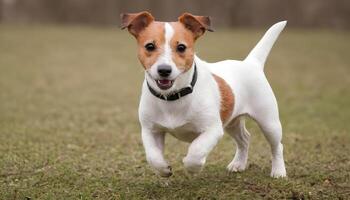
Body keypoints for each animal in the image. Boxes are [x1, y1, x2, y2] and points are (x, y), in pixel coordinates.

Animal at [120, 11, 288, 178]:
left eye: (181, 47)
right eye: (150, 46)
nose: (164, 70)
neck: (173, 96)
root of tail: (251, 63)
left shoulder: (213, 129)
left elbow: (196, 150)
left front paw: (193, 167)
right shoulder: (150, 130)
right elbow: (153, 156)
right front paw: (164, 169)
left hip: (269, 122)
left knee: (277, 146)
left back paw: (278, 171)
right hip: (232, 121)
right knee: (245, 139)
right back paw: (238, 164)